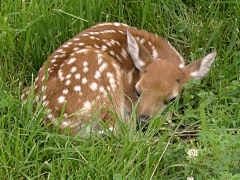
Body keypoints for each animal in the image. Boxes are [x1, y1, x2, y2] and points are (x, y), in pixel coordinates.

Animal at [21, 22, 217, 135]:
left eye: (172, 99)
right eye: (137, 91)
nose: (143, 121)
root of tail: (57, 123)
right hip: (101, 72)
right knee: (116, 129)